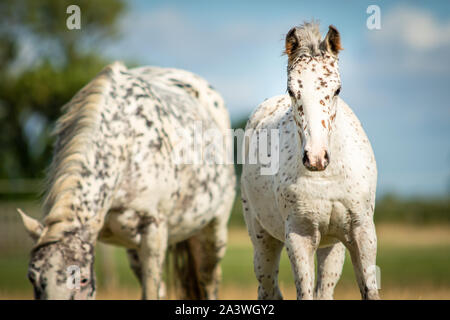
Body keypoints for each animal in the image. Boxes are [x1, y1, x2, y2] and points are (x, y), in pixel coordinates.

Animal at [17, 62, 236, 300]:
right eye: (32, 277)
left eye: (83, 279)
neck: (128, 145)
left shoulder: (154, 230)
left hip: (213, 232)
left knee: (209, 280)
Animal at [241, 23, 378, 300]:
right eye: (292, 91)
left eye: (337, 90)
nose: (316, 158)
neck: (328, 177)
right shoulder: (299, 236)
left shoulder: (362, 232)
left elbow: (369, 290)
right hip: (262, 239)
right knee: (268, 288)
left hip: (332, 246)